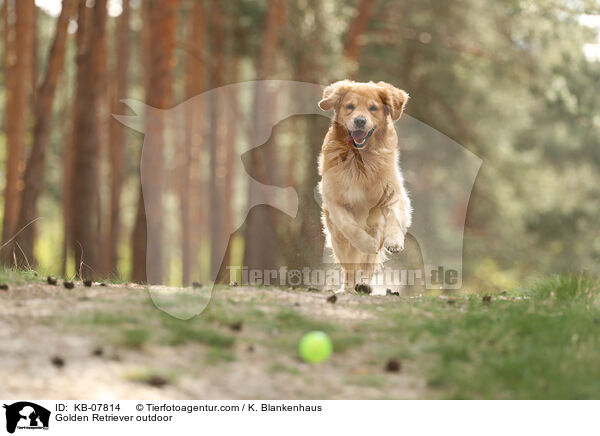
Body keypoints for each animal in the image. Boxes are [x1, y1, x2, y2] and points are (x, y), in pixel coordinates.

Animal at [318, 81, 412, 292]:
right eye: (350, 106)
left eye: (373, 108)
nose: (360, 121)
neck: (359, 158)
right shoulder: (334, 200)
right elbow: (350, 226)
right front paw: (367, 243)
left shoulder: (394, 192)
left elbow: (394, 214)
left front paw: (395, 241)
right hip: (338, 240)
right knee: (349, 267)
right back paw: (348, 287)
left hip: (376, 227)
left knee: (367, 264)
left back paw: (364, 284)